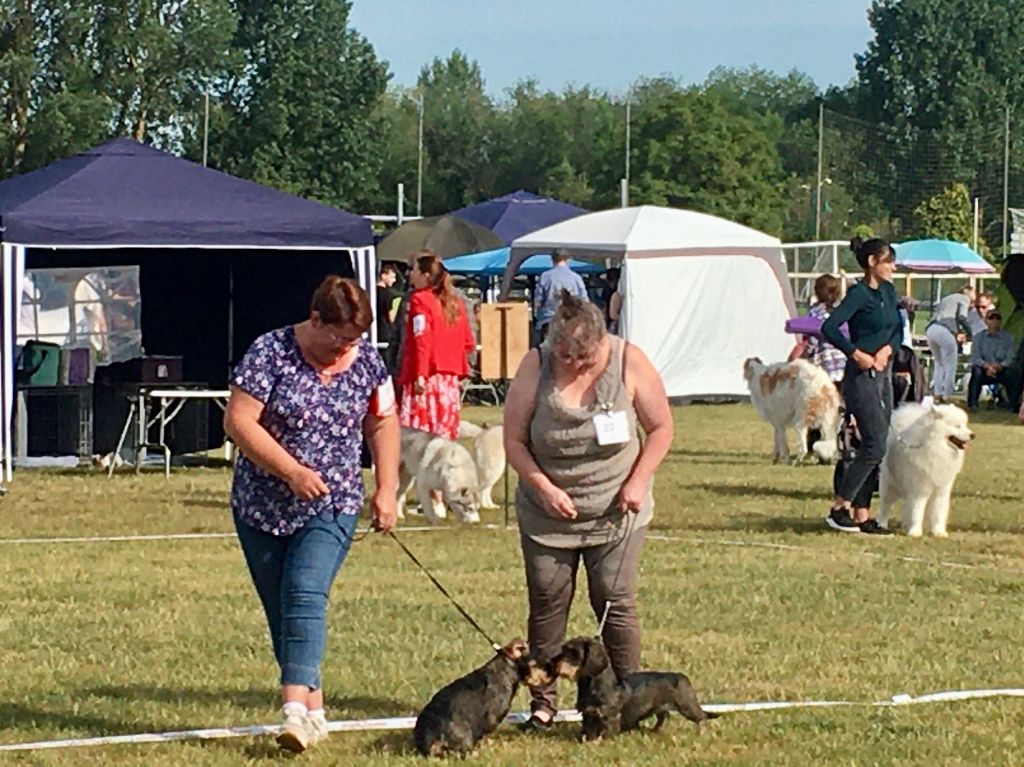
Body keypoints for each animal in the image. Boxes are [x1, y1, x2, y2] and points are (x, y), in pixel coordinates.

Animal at [876, 403, 970, 536]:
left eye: (965, 425)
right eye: (957, 426)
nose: (972, 435)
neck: (935, 447)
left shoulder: (941, 489)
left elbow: (938, 512)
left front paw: (939, 532)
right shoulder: (919, 489)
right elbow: (917, 510)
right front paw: (915, 532)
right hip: (890, 485)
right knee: (885, 506)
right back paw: (882, 524)